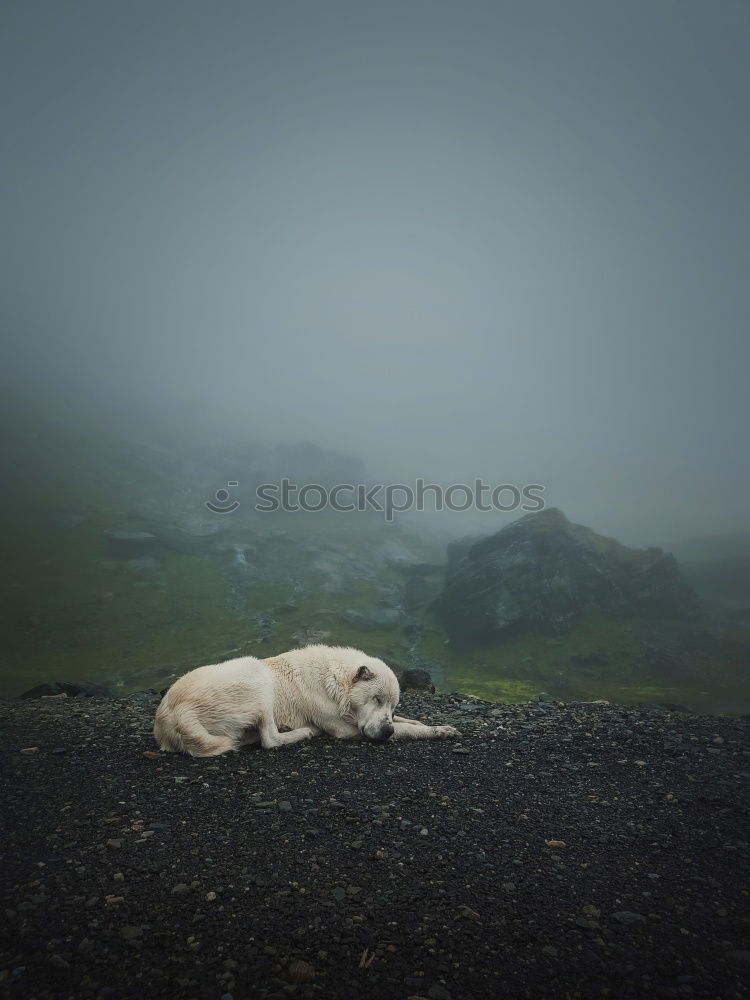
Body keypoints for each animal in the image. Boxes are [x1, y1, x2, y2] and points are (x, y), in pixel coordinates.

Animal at [153, 644, 462, 752]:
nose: (385, 733)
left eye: (393, 704)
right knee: (270, 740)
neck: (336, 685)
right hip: (254, 673)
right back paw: (303, 732)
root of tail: (172, 713)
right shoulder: (346, 729)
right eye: (376, 698)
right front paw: (437, 731)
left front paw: (430, 725)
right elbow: (405, 729)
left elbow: (406, 722)